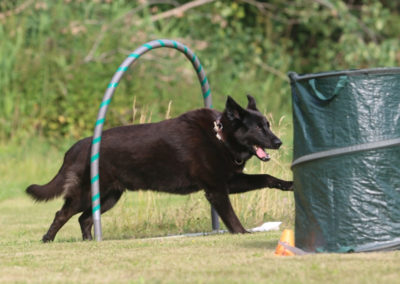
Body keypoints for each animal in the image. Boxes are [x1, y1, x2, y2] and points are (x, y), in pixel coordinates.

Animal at [26, 96, 292, 242]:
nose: (279, 142)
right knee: (62, 213)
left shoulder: (230, 182)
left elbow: (266, 177)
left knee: (85, 218)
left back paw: (89, 241)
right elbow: (230, 216)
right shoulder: (217, 190)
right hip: (88, 194)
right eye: (258, 128)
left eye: (268, 125)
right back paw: (47, 239)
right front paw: (242, 232)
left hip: (108, 197)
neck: (221, 137)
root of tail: (80, 145)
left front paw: (288, 184)